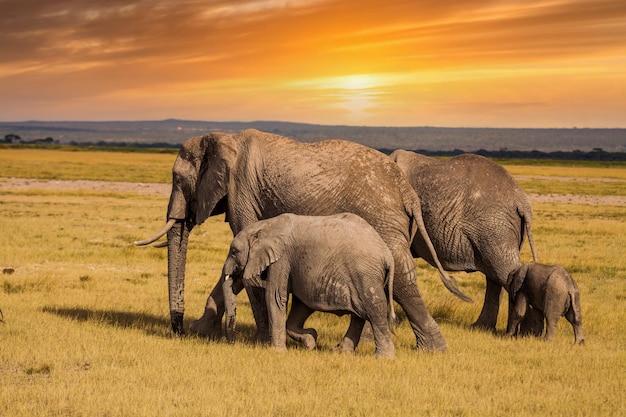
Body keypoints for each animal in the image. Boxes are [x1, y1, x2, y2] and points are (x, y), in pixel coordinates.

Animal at [222, 213, 392, 360]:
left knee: (375, 311)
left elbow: (275, 297)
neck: (265, 225)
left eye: (234, 252)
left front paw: (278, 352)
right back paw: (340, 352)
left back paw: (383, 358)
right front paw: (310, 341)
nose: (231, 343)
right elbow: (300, 306)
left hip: (365, 275)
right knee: (359, 315)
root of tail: (387, 255)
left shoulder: (282, 258)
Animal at [386, 150, 536, 332]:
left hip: (494, 227)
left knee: (504, 271)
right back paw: (483, 328)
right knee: (496, 276)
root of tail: (522, 200)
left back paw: (522, 333)